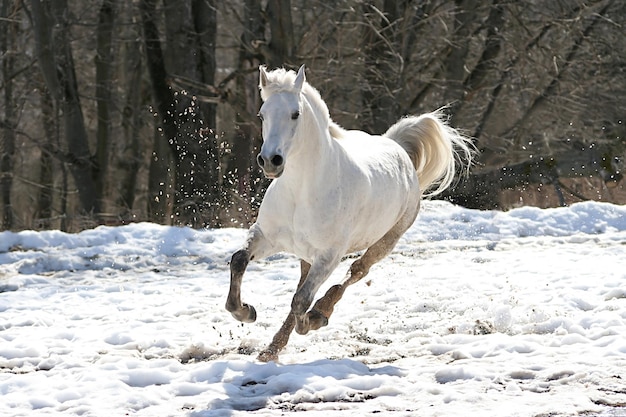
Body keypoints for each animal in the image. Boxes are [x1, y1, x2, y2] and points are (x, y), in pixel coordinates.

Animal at [224, 65, 472, 360]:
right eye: (262, 114)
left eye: (295, 114)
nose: (270, 161)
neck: (301, 192)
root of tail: (397, 147)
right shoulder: (267, 237)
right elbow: (239, 260)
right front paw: (246, 312)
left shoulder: (329, 255)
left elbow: (301, 301)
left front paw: (313, 320)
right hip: (307, 253)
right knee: (307, 283)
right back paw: (272, 349)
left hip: (386, 240)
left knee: (356, 271)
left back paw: (320, 313)